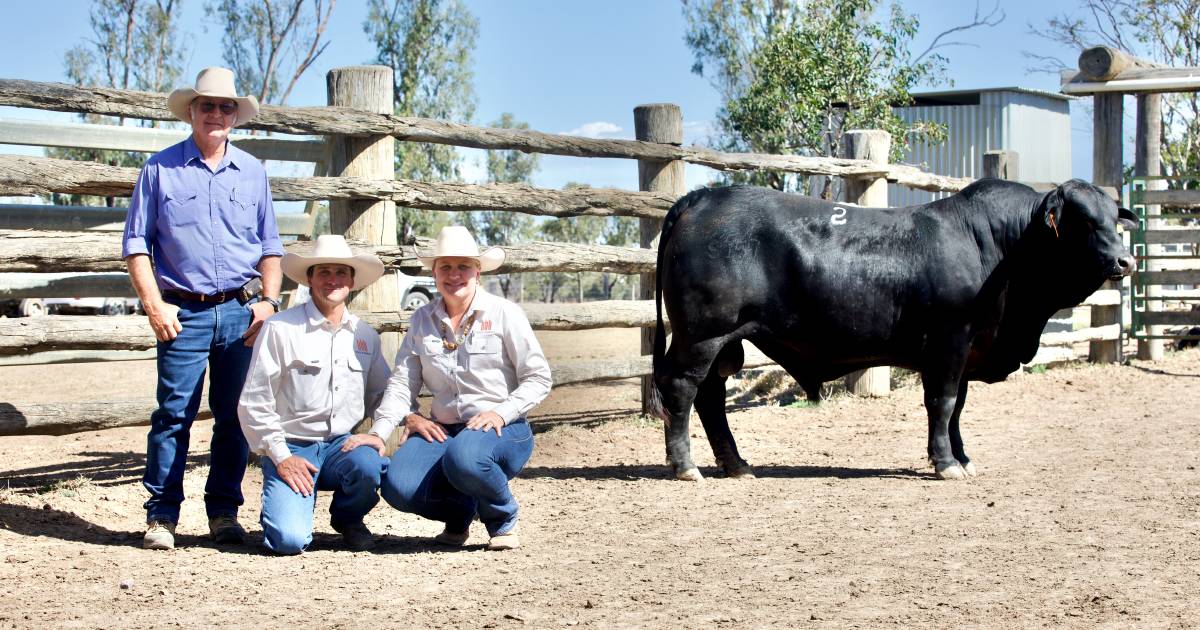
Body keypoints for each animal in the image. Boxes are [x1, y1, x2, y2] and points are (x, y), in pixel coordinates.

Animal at [652, 176, 1128, 482]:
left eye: (1115, 220)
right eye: (1085, 221)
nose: (1125, 260)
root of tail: (702, 197)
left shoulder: (967, 348)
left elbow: (958, 407)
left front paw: (961, 457)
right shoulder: (951, 340)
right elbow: (943, 403)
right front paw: (946, 464)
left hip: (722, 342)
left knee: (710, 398)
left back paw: (737, 465)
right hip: (702, 335)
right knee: (682, 389)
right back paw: (685, 466)